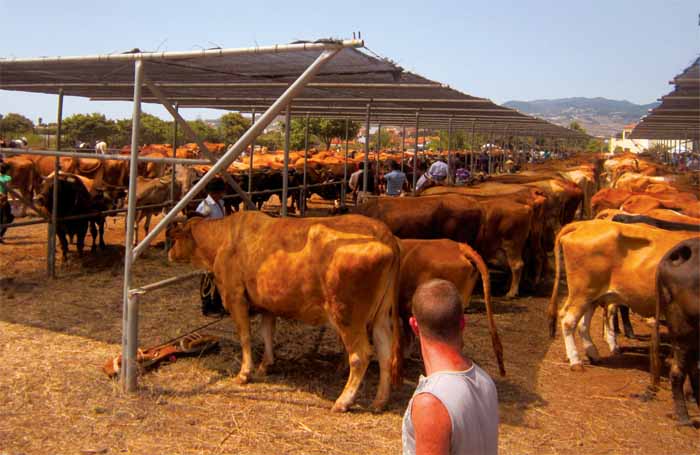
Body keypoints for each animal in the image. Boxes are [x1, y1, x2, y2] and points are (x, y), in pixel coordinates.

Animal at [166, 214, 402, 414]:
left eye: (175, 239)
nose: (169, 254)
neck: (224, 238)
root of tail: (384, 233)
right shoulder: (267, 304)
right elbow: (267, 333)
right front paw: (266, 364)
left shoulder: (235, 298)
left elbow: (245, 336)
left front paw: (245, 373)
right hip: (381, 317)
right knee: (385, 353)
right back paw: (380, 401)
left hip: (347, 316)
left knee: (360, 355)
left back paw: (343, 401)